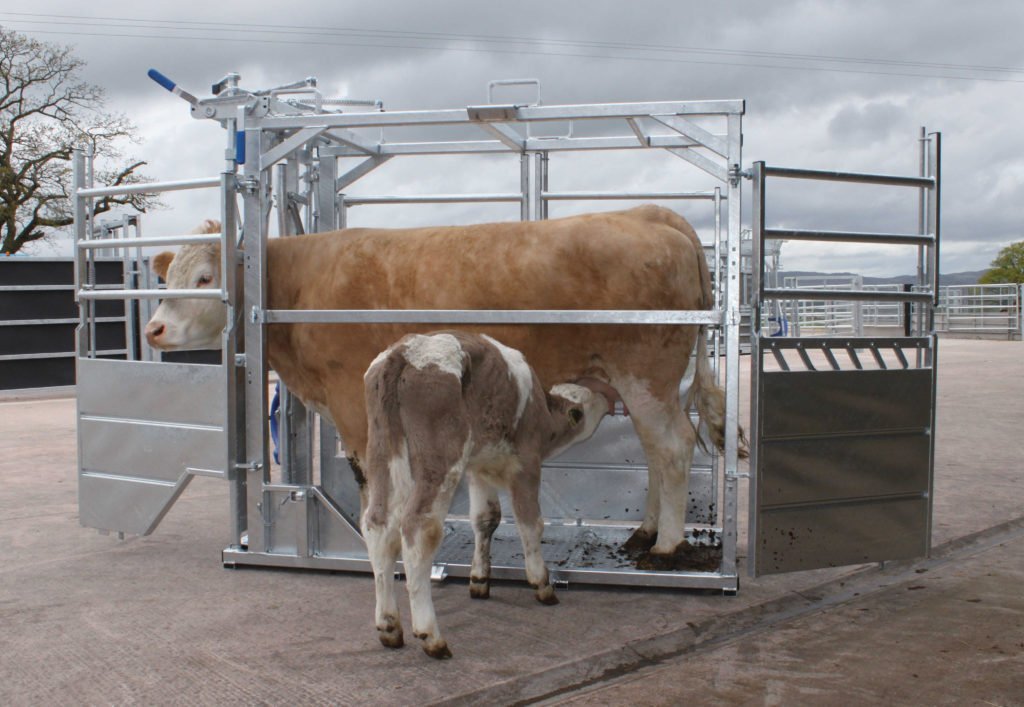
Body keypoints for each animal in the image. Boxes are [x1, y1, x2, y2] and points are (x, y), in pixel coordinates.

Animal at [145, 205, 743, 565]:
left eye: (206, 279)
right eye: (166, 278)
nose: (153, 329)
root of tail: (646, 214)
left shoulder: (352, 400)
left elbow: (373, 477)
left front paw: (378, 540)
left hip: (647, 376)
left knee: (673, 446)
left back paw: (667, 545)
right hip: (638, 383)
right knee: (655, 451)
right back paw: (645, 532)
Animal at [362, 331, 609, 658]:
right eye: (587, 403)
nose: (608, 400)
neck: (541, 413)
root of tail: (408, 350)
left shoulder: (479, 467)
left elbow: (486, 518)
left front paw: (479, 580)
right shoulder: (526, 464)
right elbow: (530, 522)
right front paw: (541, 583)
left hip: (381, 450)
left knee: (378, 525)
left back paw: (389, 626)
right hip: (440, 459)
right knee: (417, 527)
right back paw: (431, 636)